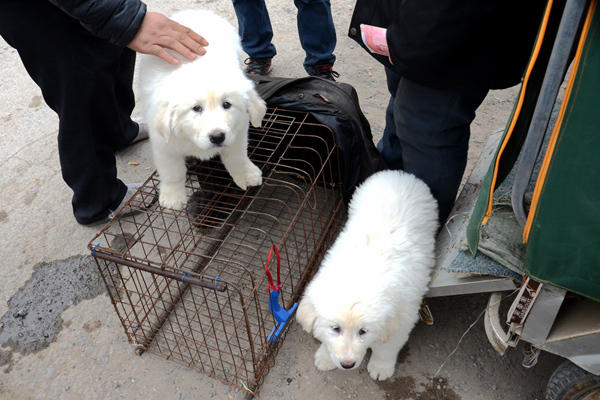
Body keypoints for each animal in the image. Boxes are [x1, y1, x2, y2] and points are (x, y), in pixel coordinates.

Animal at [138, 9, 268, 209]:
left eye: (227, 104)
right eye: (196, 108)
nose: (217, 137)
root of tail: (194, 11)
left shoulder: (237, 132)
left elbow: (236, 156)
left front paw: (246, 174)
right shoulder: (164, 143)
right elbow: (172, 170)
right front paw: (173, 197)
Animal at [298, 170, 438, 382]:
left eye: (363, 331)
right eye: (335, 328)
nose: (347, 365)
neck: (360, 275)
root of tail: (399, 174)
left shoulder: (402, 317)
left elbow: (386, 347)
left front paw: (380, 367)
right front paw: (325, 356)